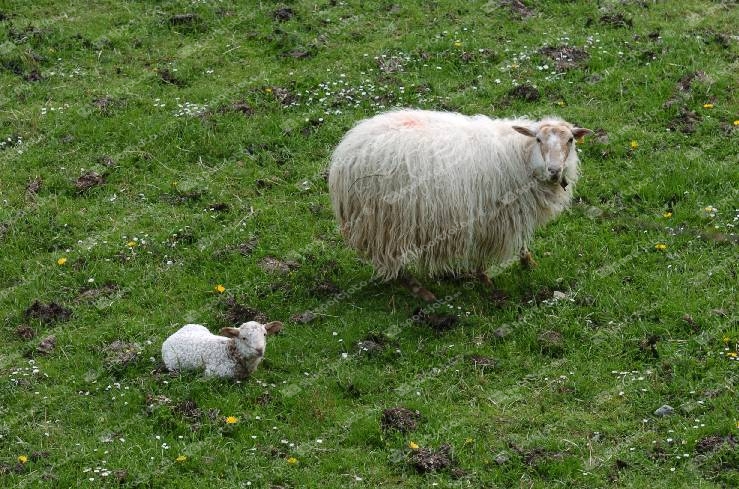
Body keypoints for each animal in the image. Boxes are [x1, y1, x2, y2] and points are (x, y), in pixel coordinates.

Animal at [326, 109, 592, 302]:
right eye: (538, 139)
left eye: (570, 140)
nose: (555, 171)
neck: (520, 155)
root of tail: (346, 150)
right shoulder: (491, 215)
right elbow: (485, 252)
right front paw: (485, 279)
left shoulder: (514, 210)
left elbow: (523, 242)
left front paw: (528, 263)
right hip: (385, 222)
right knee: (393, 262)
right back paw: (423, 293)